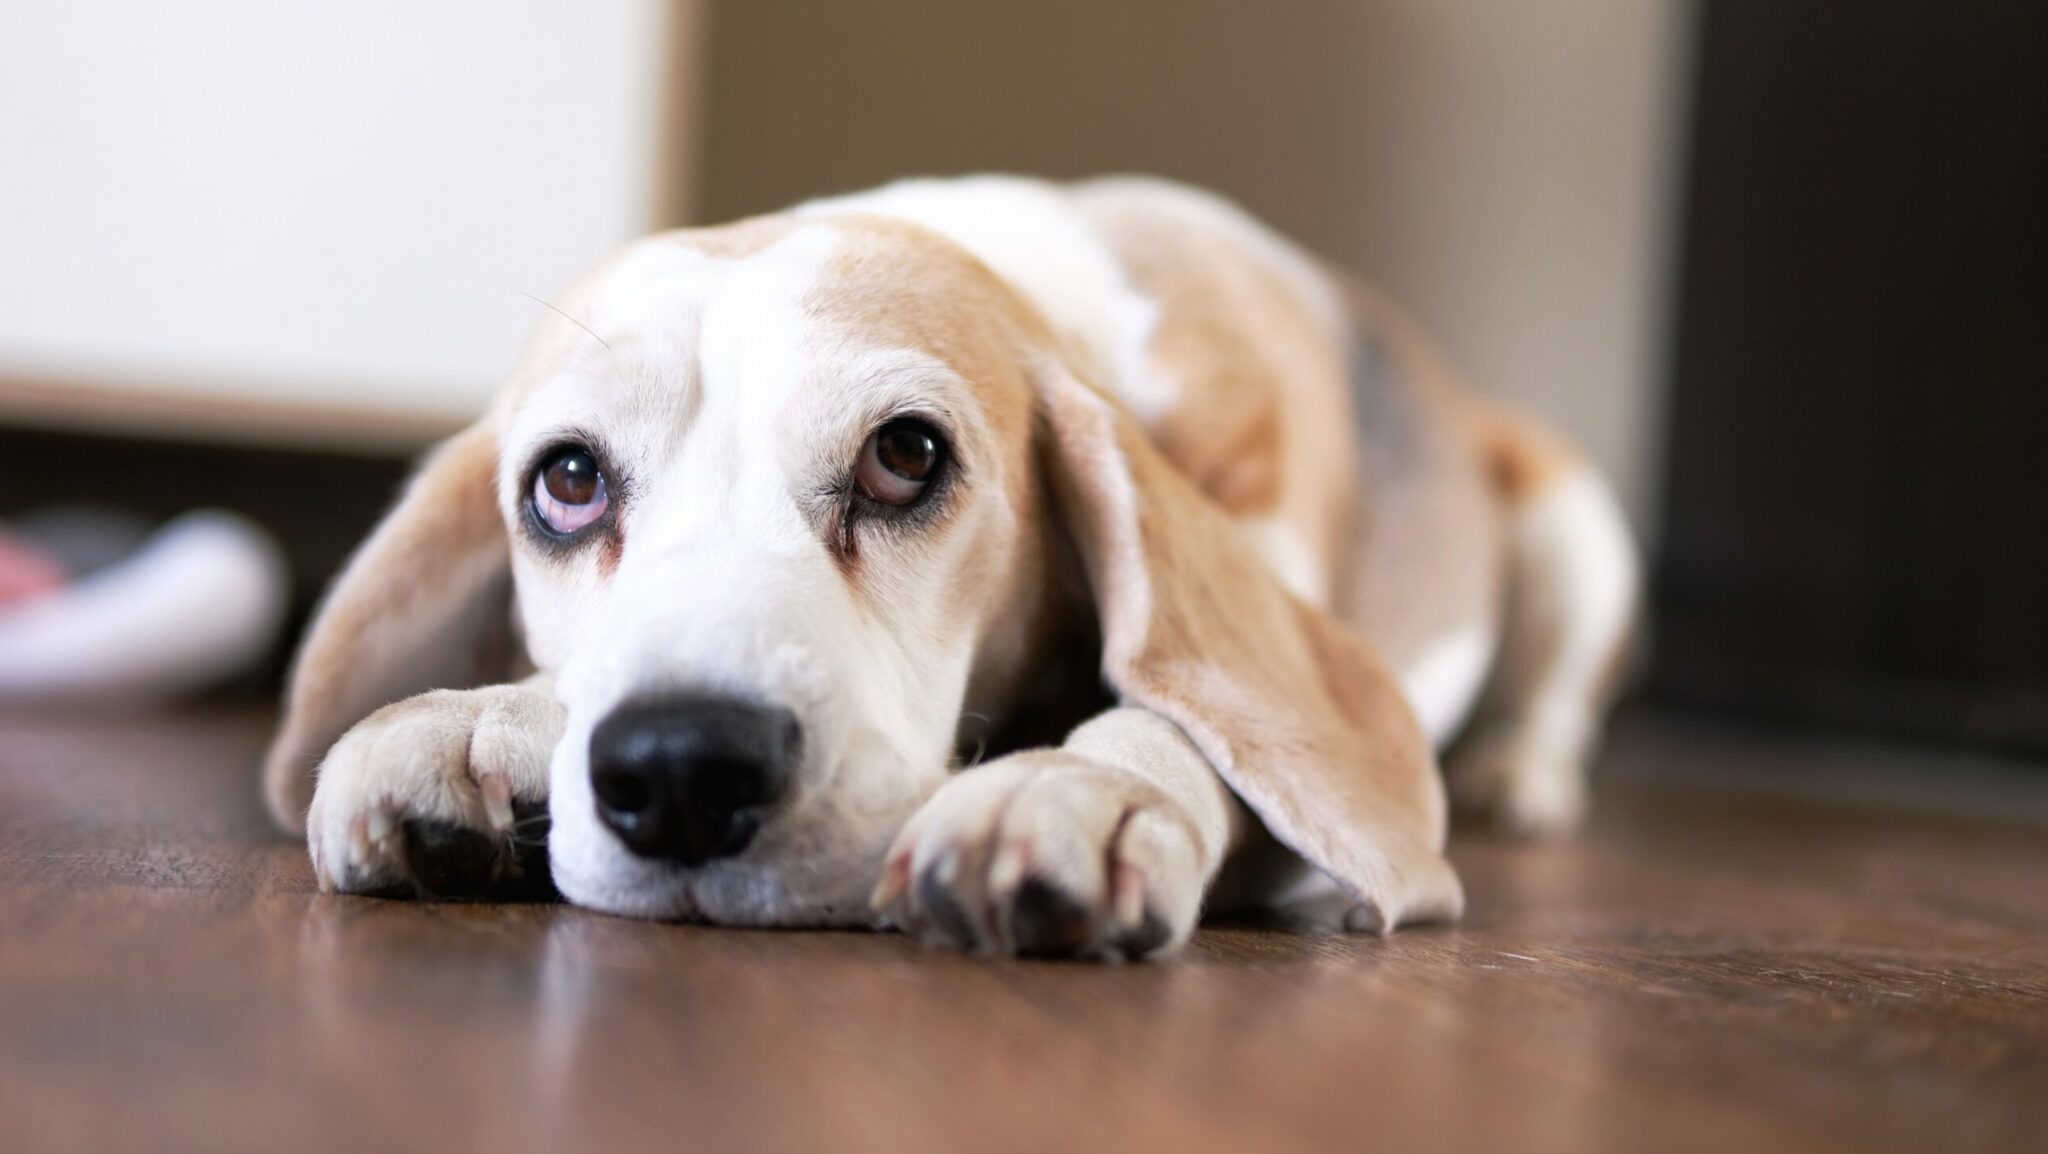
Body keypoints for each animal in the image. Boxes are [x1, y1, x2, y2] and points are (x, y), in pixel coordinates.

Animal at [260, 174, 1630, 959]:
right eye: (567, 479)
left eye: (904, 455)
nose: (682, 771)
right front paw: (480, 720)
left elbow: (1180, 714)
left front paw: (1074, 791)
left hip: (1581, 528)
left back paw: (1517, 776)